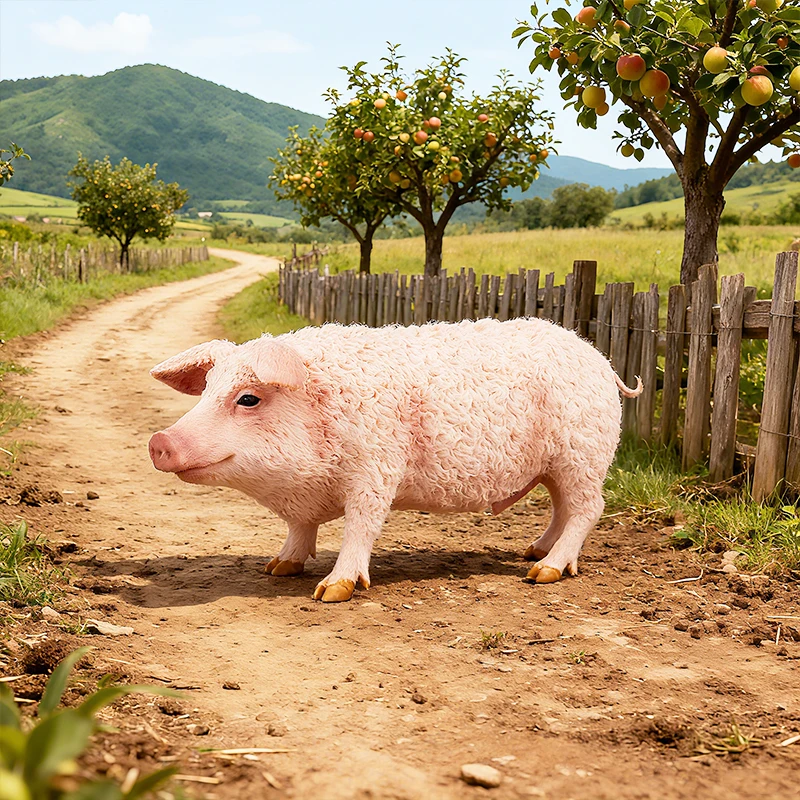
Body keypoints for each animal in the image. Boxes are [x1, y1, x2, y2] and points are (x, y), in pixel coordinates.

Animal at [149, 318, 641, 602]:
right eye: (207, 389)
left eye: (248, 398)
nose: (159, 441)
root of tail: (599, 359)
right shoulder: (305, 501)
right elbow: (299, 528)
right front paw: (277, 568)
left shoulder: (376, 468)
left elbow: (361, 526)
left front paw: (331, 592)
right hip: (557, 465)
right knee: (561, 508)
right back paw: (532, 552)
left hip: (583, 453)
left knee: (587, 508)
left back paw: (543, 573)